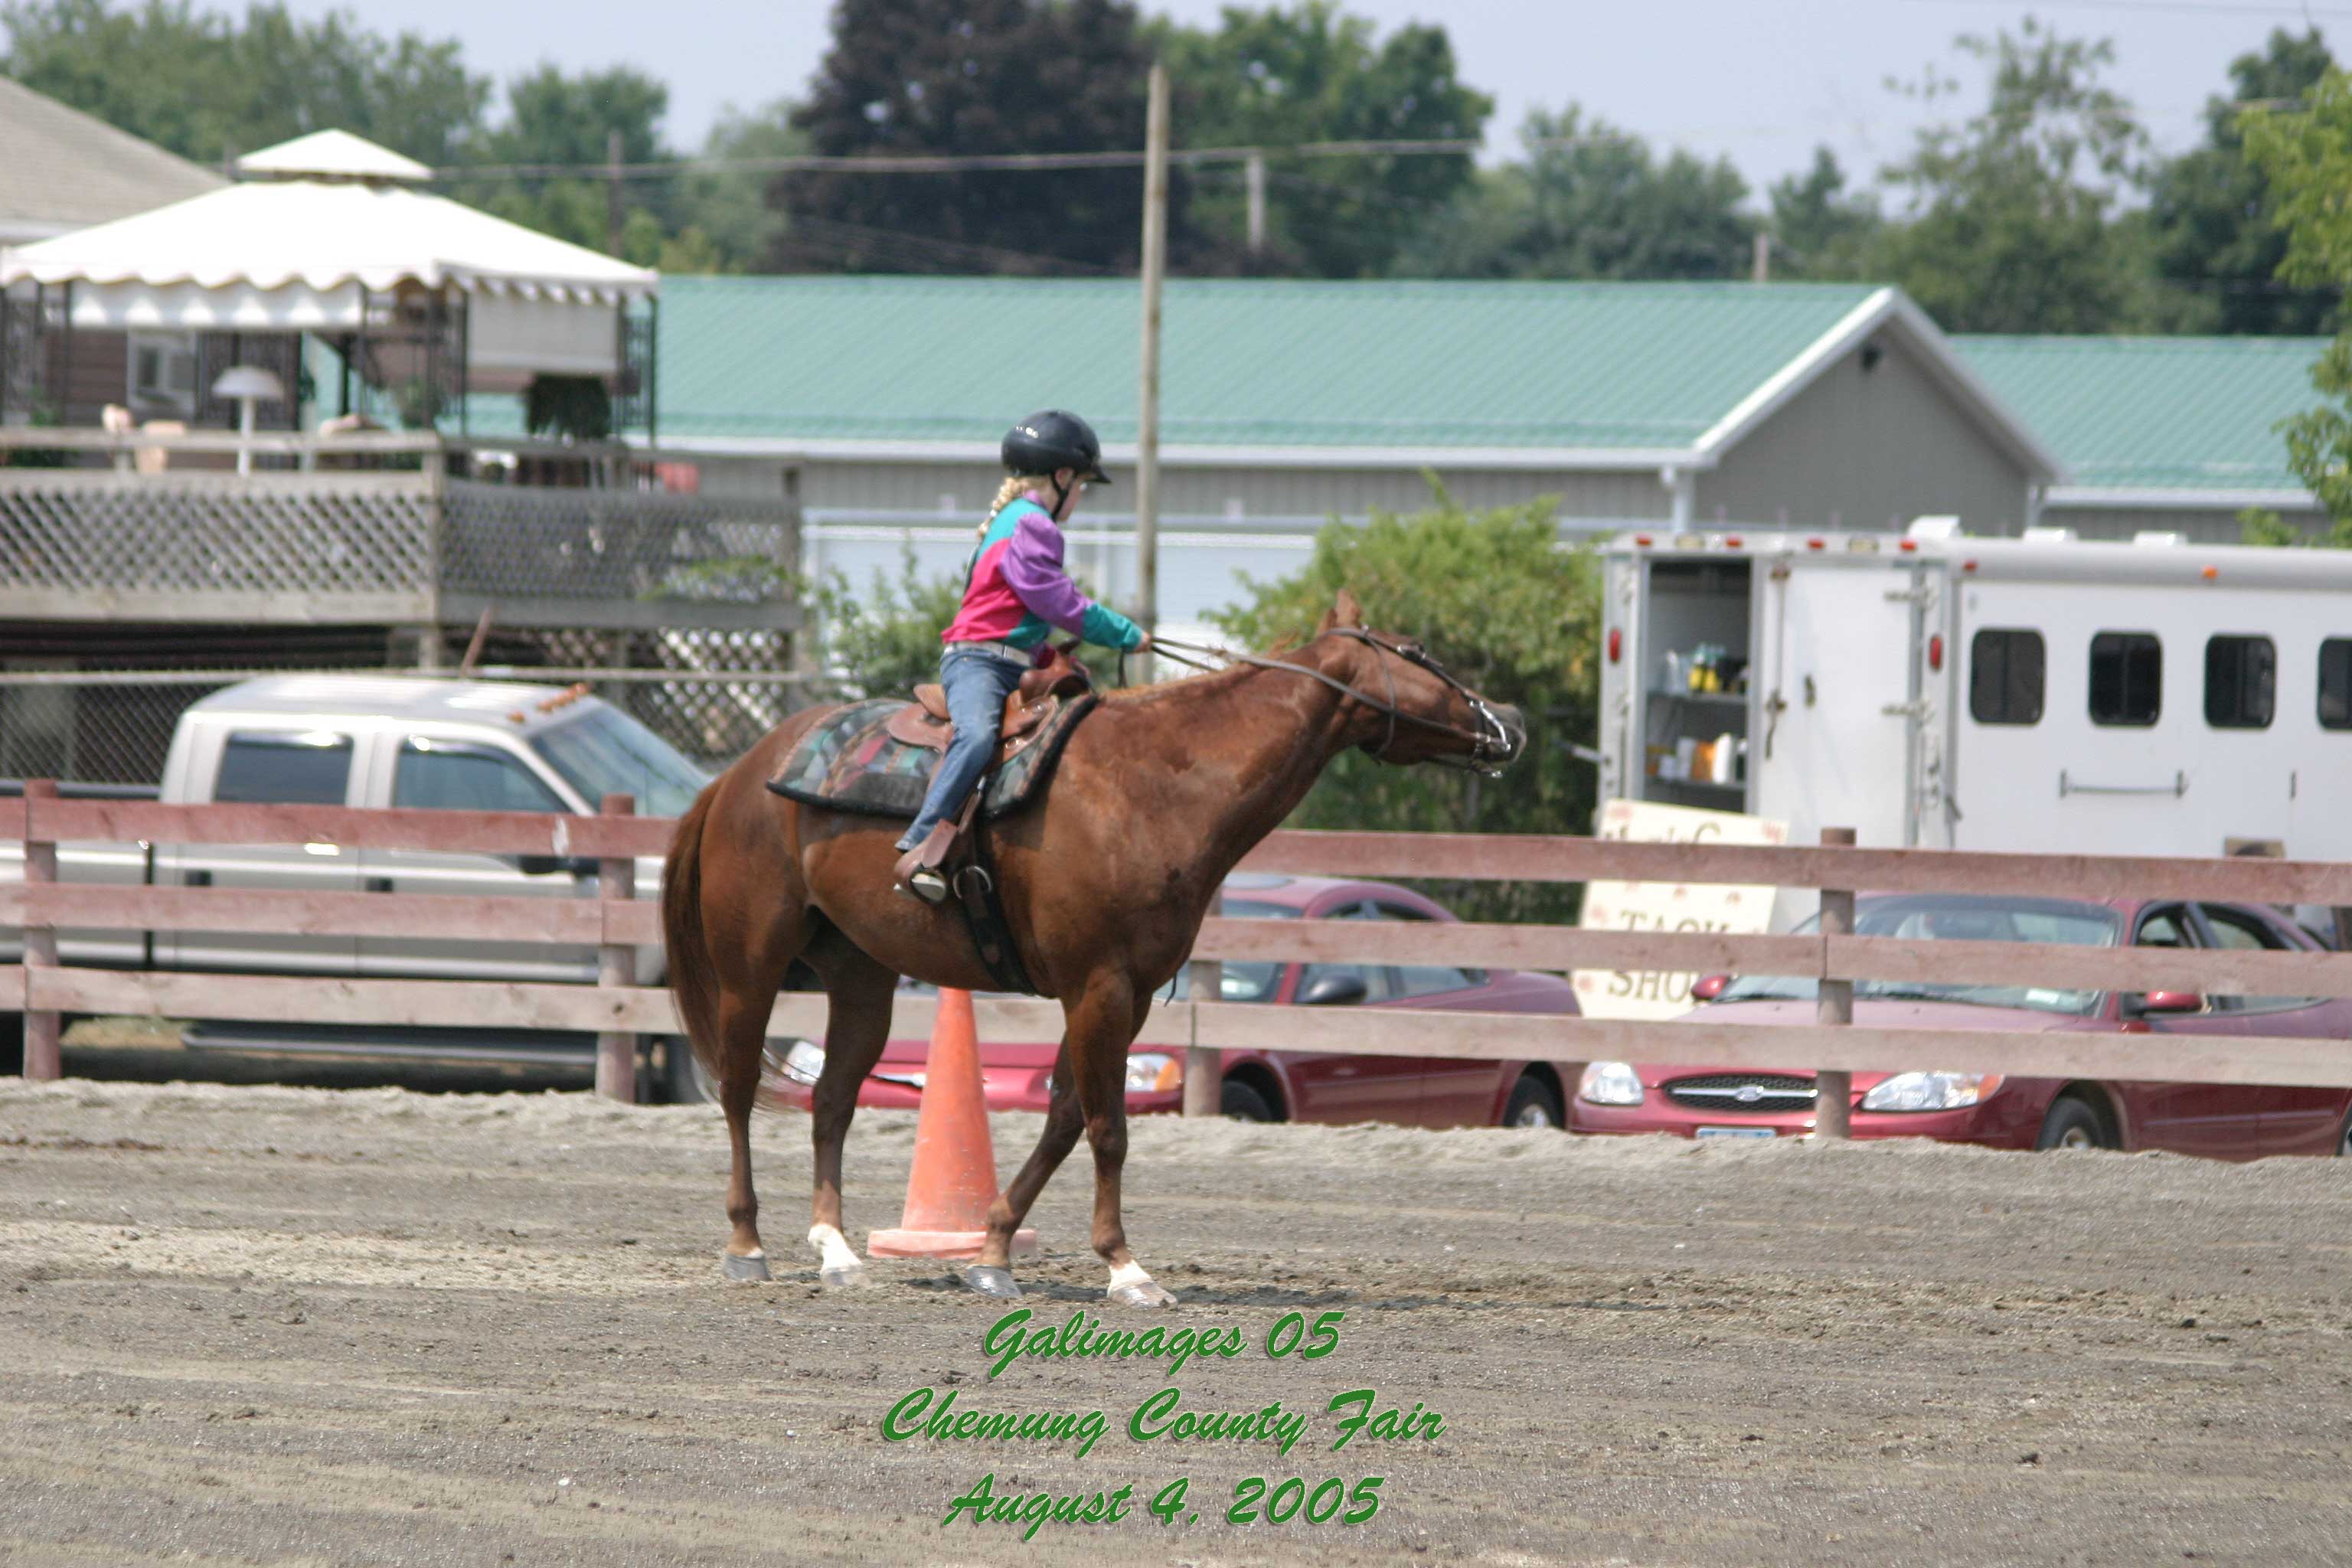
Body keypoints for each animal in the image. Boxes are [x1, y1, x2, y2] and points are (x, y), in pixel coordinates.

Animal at [658, 594, 1524, 1307]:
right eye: (1415, 650)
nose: (1510, 721)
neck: (1156, 787)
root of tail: (739, 773)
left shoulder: (1126, 994)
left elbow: (1066, 1116)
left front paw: (995, 1251)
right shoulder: (1099, 986)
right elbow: (1109, 1127)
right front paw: (1126, 1268)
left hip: (862, 977)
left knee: (834, 1100)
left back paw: (836, 1250)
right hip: (751, 966)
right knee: (738, 1088)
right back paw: (747, 1244)